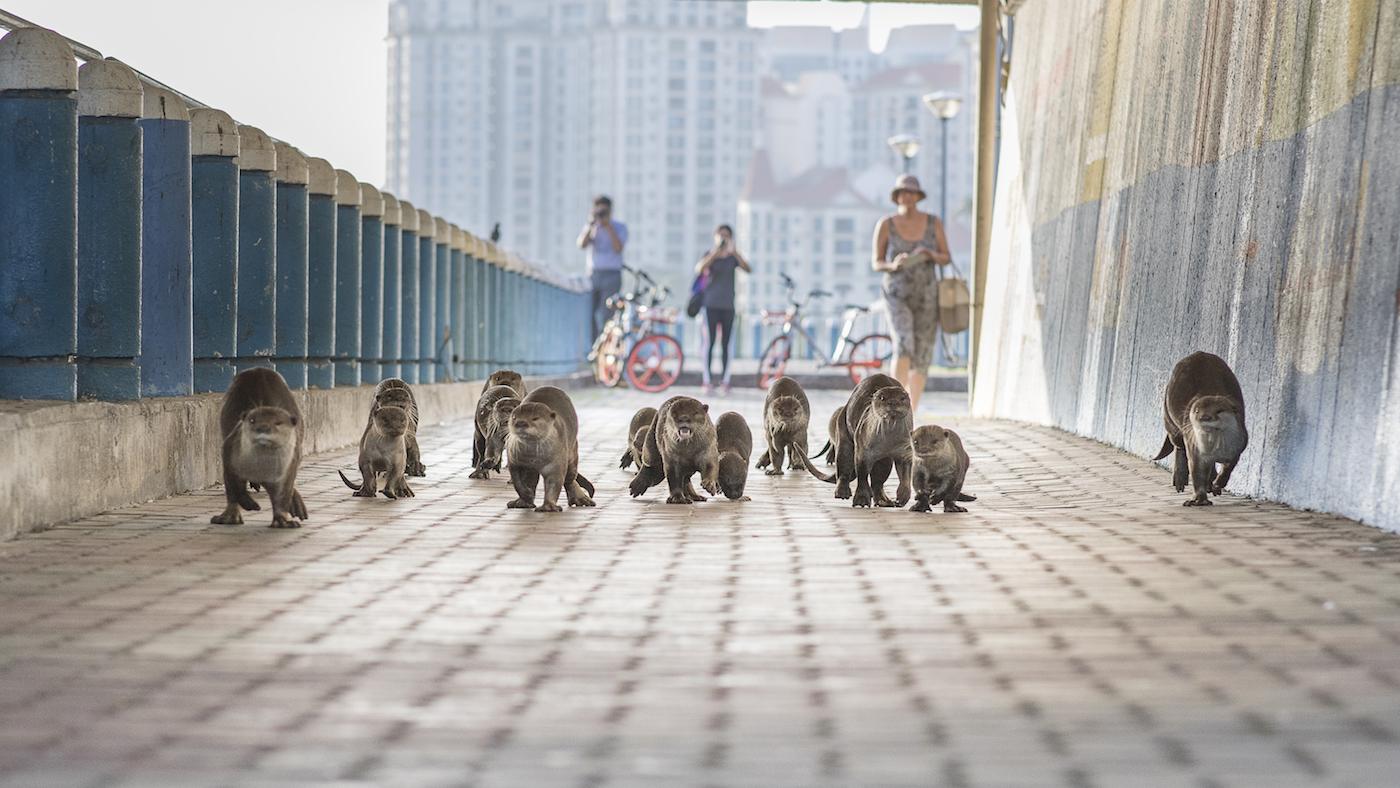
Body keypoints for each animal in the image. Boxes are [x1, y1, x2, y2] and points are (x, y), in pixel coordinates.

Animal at [211, 368, 308, 528]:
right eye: (252, 420)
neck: (261, 468)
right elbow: (233, 487)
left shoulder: (288, 467)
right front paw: (237, 511)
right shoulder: (229, 453)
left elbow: (283, 494)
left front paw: (283, 520)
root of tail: (258, 369)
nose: (263, 427)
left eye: (278, 423)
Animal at [1152, 351, 1249, 506]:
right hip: (1170, 419)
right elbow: (1197, 472)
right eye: (1196, 410)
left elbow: (1229, 466)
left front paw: (1218, 483)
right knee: (1179, 446)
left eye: (1219, 410)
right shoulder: (1195, 449)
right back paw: (1180, 478)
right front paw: (1198, 499)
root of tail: (1198, 353)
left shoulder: (1239, 444)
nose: (1204, 417)